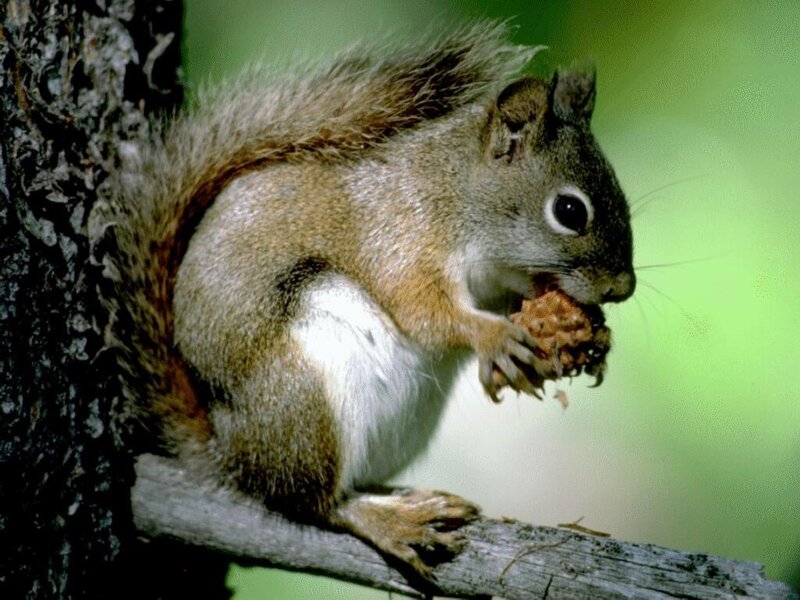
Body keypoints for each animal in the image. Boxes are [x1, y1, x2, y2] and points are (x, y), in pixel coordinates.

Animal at [95, 22, 635, 579]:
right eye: (569, 210)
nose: (623, 288)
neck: (454, 192)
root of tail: (232, 452)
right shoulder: (401, 240)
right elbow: (423, 310)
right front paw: (495, 338)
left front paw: (595, 339)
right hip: (304, 397)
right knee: (314, 501)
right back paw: (389, 521)